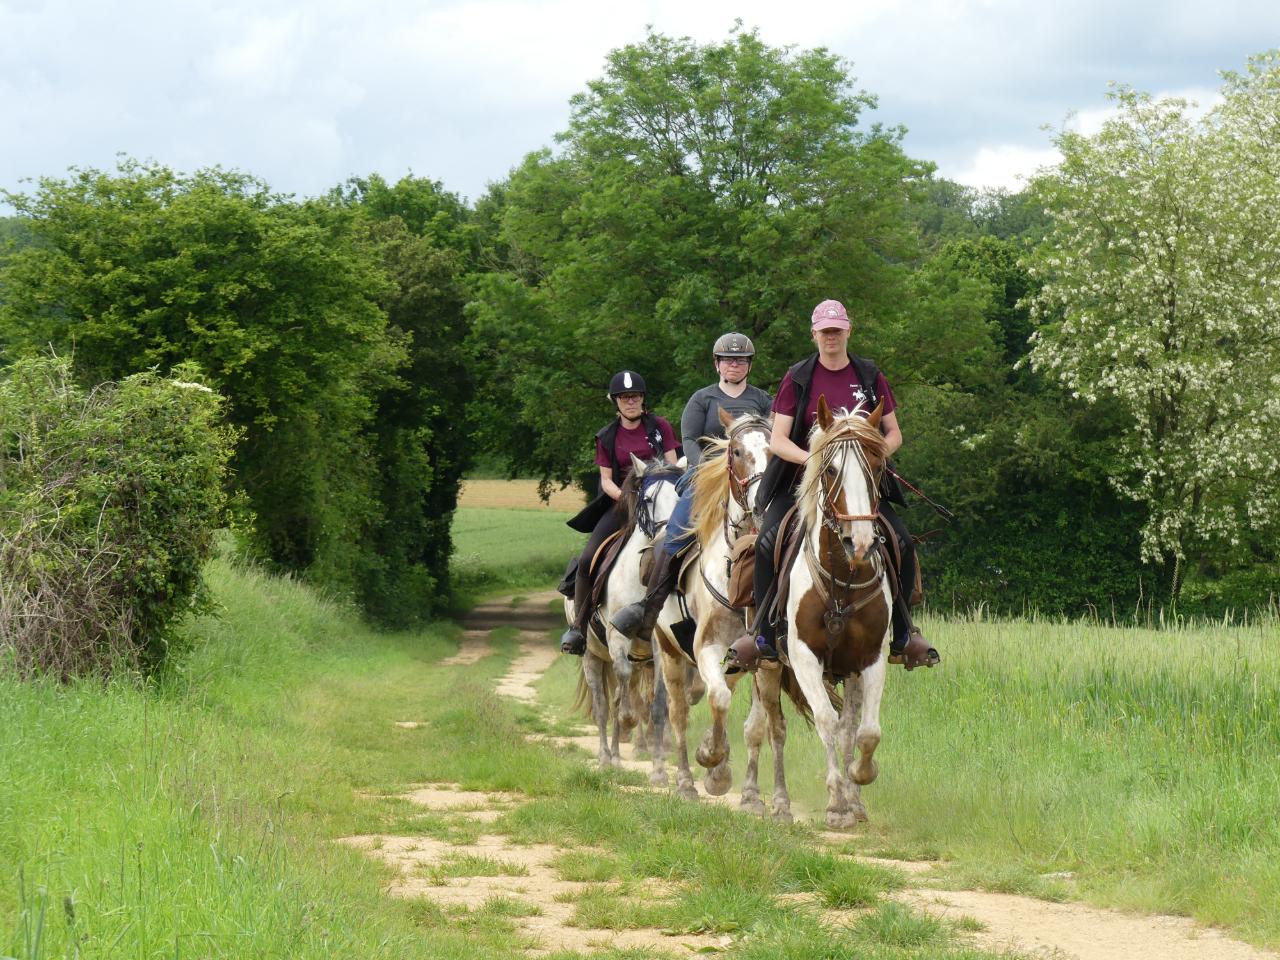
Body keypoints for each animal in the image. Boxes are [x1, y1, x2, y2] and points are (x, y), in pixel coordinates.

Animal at [566, 455, 682, 773]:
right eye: (648, 499)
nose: (668, 538)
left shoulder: (658, 646)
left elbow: (658, 703)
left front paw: (659, 767)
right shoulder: (617, 638)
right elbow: (622, 689)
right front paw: (630, 723)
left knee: (624, 695)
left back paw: (619, 755)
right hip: (591, 656)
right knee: (603, 704)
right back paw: (607, 757)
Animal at [651, 411, 794, 818]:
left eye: (775, 453)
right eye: (736, 452)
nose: (761, 502)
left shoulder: (767, 662)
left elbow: (763, 726)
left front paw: (762, 798)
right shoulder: (708, 648)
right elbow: (717, 701)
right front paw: (711, 759)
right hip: (669, 653)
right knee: (678, 712)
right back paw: (686, 782)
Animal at [783, 396, 895, 828]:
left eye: (877, 468)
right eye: (831, 470)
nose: (860, 542)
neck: (841, 584)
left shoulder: (870, 658)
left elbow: (866, 731)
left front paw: (859, 780)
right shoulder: (803, 656)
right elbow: (826, 722)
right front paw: (834, 799)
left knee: (851, 725)